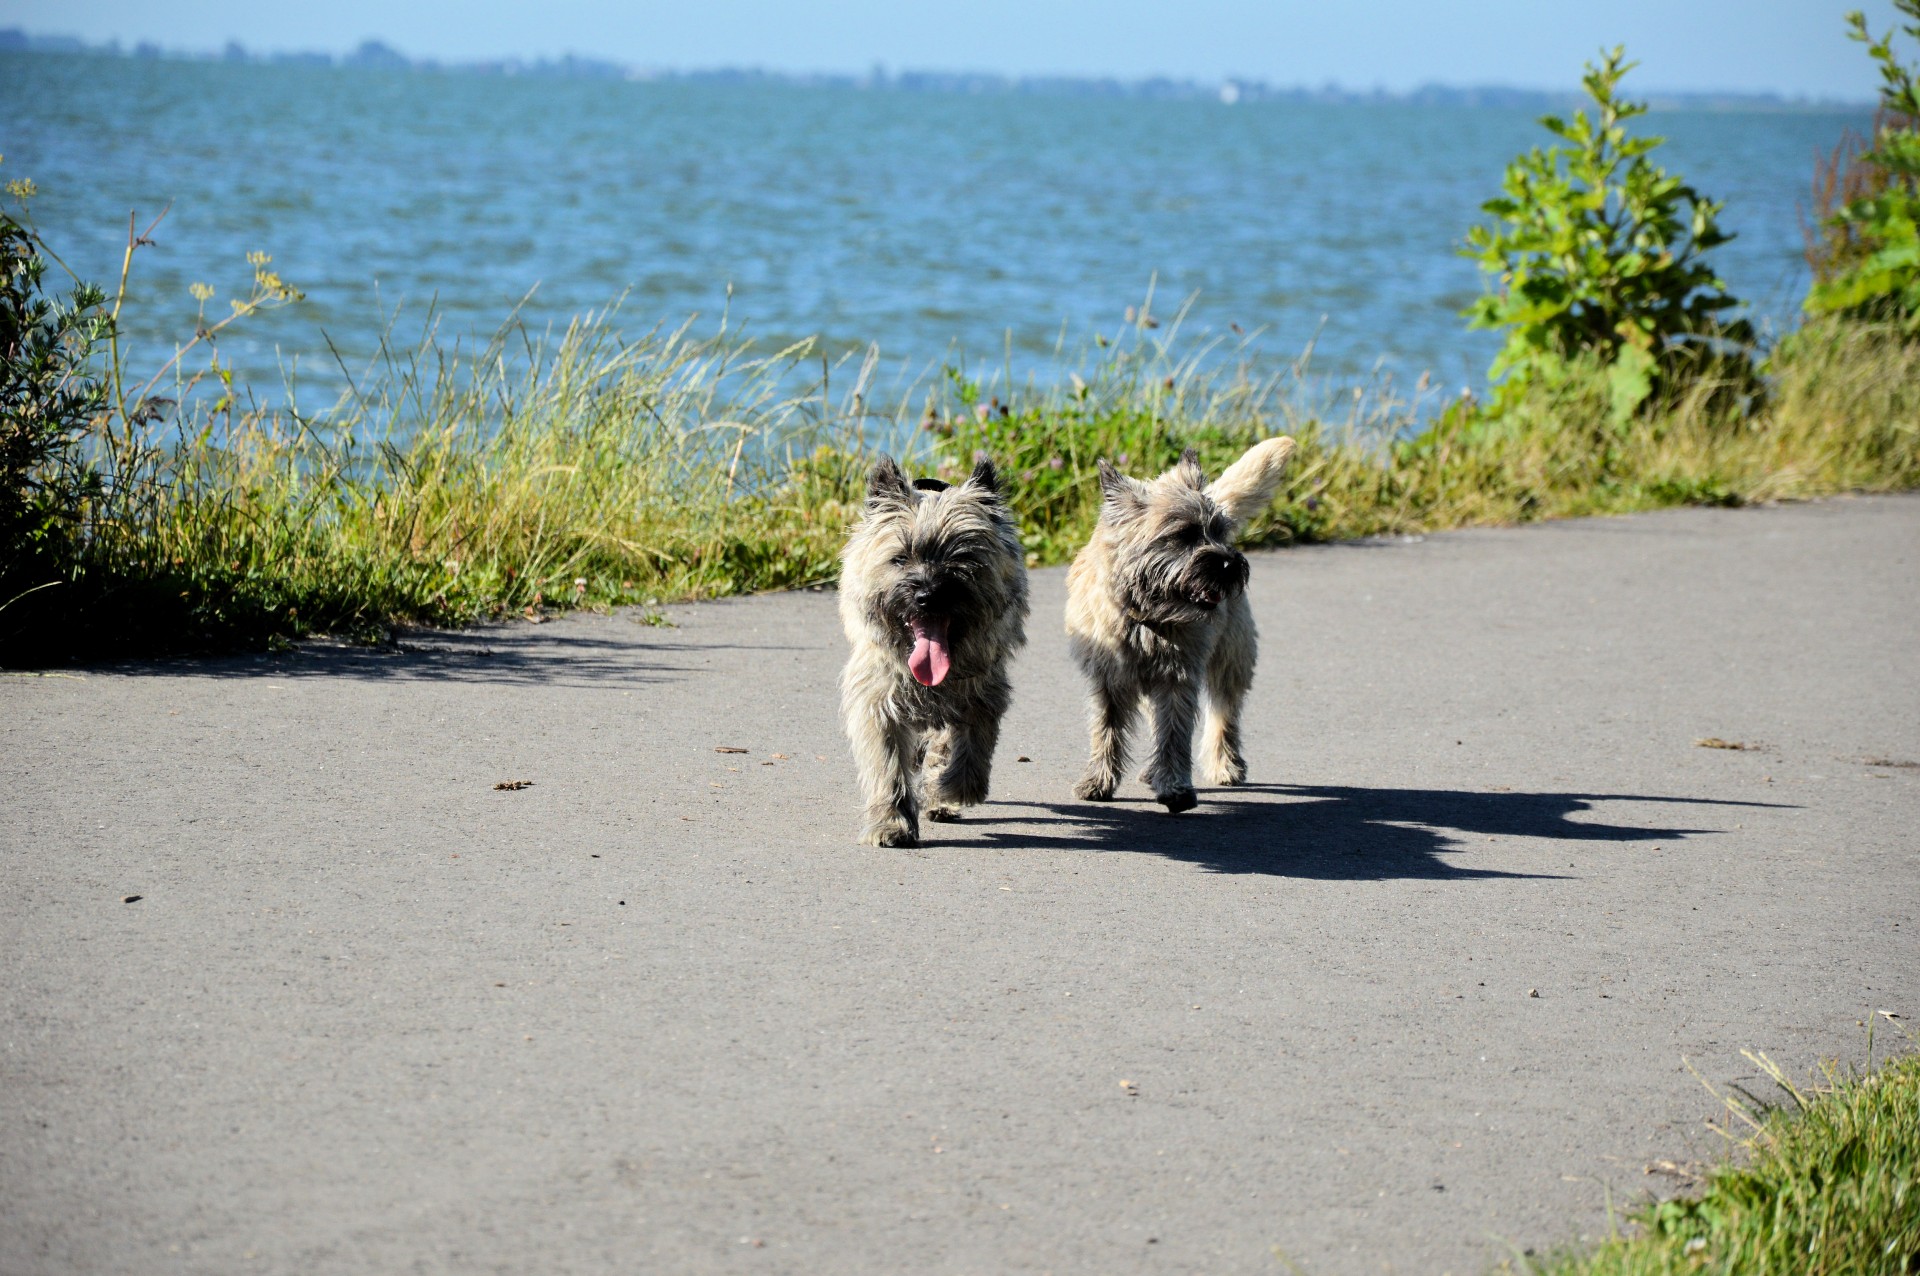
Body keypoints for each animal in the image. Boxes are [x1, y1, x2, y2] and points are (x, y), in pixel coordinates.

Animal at [837, 452, 1029, 840]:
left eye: (962, 557)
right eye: (900, 558)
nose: (928, 596)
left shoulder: (981, 693)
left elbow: (968, 752)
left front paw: (948, 788)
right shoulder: (877, 699)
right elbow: (887, 765)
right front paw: (891, 822)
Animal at [1059, 437, 1297, 809]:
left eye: (1219, 531)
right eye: (1183, 534)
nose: (1230, 564)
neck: (1146, 618)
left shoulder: (1178, 678)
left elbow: (1174, 732)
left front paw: (1175, 788)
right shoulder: (1108, 680)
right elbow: (1106, 731)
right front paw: (1098, 781)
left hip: (1232, 658)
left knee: (1224, 712)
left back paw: (1224, 765)